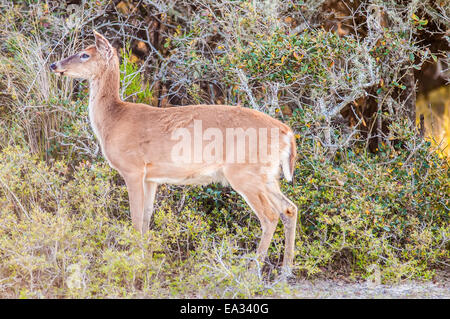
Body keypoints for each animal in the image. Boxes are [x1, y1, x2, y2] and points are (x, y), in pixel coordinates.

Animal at [50, 30, 298, 272]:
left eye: (84, 54)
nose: (54, 65)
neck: (114, 120)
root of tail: (286, 132)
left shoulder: (132, 169)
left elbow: (135, 217)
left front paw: (134, 263)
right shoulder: (151, 177)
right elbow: (146, 218)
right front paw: (145, 259)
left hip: (244, 172)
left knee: (270, 216)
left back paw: (253, 271)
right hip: (267, 175)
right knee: (289, 209)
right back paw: (285, 271)